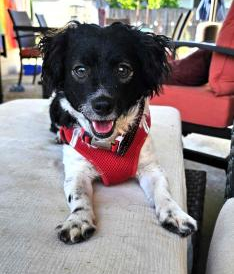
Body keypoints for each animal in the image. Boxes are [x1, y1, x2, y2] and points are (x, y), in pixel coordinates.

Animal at [39, 21, 197, 244]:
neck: (111, 143)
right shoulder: (77, 171)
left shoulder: (151, 168)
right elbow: (79, 196)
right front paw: (78, 220)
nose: (102, 105)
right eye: (80, 70)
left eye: (123, 69)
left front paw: (175, 214)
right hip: (54, 108)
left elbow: (163, 192)